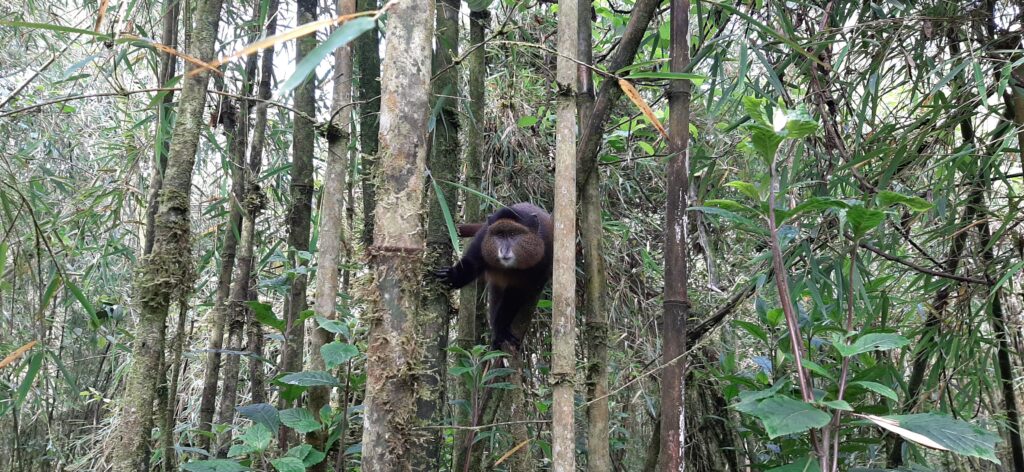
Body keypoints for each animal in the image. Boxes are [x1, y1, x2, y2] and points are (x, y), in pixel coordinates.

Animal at [435, 202, 554, 350]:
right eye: (500, 235)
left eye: (513, 234)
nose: (504, 250)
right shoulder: (483, 238)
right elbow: (472, 263)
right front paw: (452, 276)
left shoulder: (545, 251)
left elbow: (515, 294)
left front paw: (501, 330)